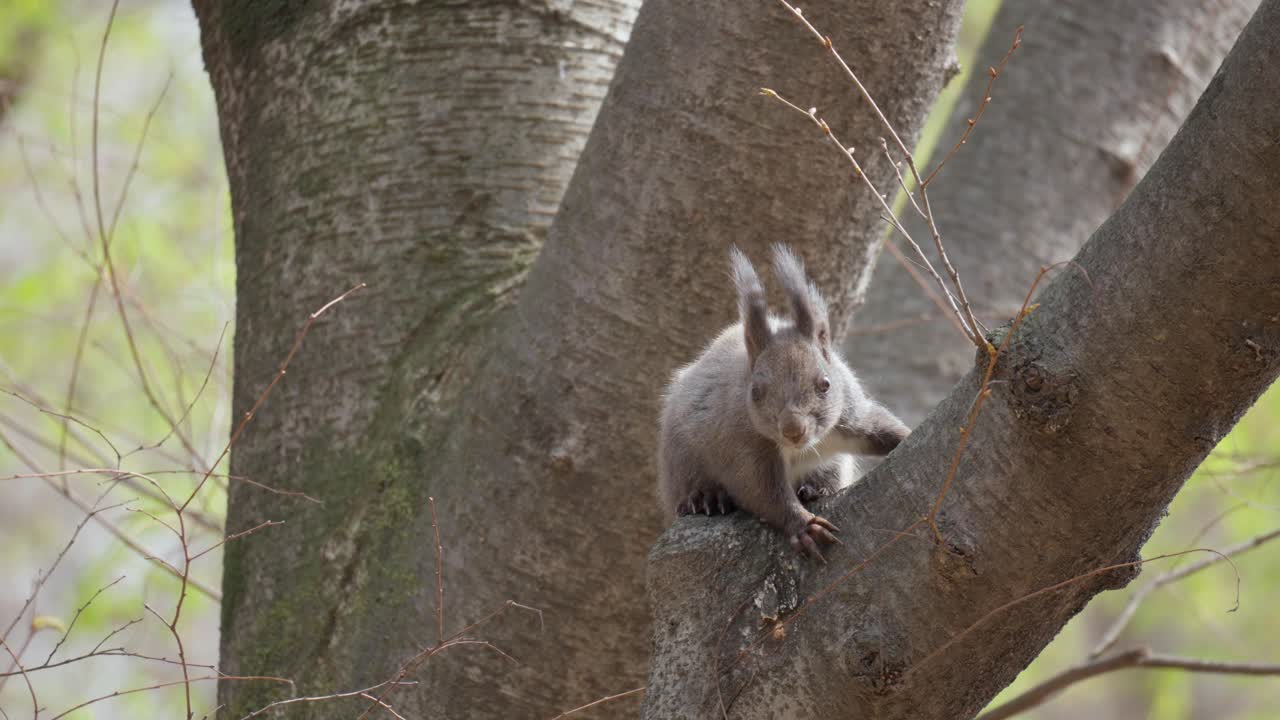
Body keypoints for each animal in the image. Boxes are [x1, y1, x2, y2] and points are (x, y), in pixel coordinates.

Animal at [657, 244, 910, 560]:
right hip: (680, 462)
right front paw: (803, 526)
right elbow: (762, 492)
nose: (792, 429)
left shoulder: (851, 419)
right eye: (755, 392)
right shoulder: (741, 445)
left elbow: (880, 427)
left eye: (825, 384)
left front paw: (907, 436)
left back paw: (816, 489)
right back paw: (706, 498)